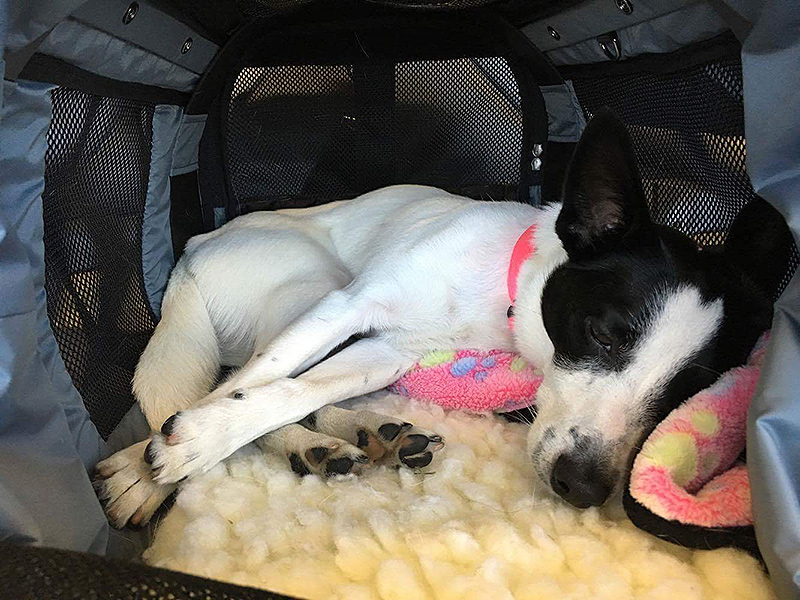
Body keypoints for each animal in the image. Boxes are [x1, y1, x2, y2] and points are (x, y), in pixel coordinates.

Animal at [97, 110, 792, 528]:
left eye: (685, 391)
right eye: (601, 333)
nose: (584, 488)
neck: (501, 290)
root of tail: (191, 249)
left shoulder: (387, 351)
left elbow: (290, 392)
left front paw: (191, 445)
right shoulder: (350, 306)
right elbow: (249, 388)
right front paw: (151, 465)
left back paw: (350, 438)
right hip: (312, 282)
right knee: (233, 375)